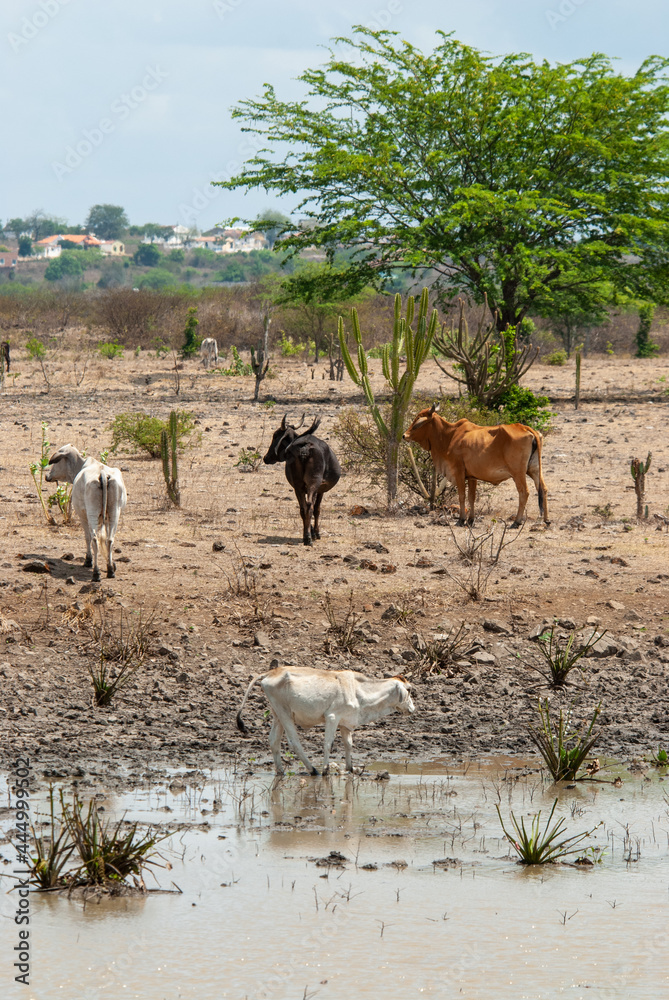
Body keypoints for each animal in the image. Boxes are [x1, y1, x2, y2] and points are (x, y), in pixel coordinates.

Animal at [45, 445, 127, 581]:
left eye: (56, 463)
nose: (47, 476)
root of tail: (102, 473)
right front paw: (111, 563)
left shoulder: (83, 515)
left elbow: (87, 537)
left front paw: (88, 560)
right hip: (114, 512)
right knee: (110, 540)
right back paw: (110, 570)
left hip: (92, 513)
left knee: (94, 539)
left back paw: (96, 573)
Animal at [236, 666, 415, 775]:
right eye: (409, 690)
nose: (413, 709)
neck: (358, 691)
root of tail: (271, 672)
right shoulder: (332, 717)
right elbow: (328, 744)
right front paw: (325, 769)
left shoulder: (345, 724)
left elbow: (348, 745)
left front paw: (351, 768)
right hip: (285, 714)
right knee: (294, 742)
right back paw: (313, 770)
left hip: (277, 715)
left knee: (274, 741)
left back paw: (281, 771)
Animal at [263, 415, 341, 546]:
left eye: (275, 435)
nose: (266, 458)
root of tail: (305, 447)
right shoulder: (319, 490)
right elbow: (317, 509)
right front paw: (316, 533)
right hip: (313, 483)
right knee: (309, 506)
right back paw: (308, 538)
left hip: (298, 486)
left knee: (304, 507)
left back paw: (306, 536)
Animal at [403, 403, 549, 527]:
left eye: (418, 420)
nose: (404, 435)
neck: (449, 435)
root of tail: (525, 428)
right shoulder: (472, 477)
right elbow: (471, 497)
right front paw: (471, 520)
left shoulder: (458, 472)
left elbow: (462, 495)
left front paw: (461, 520)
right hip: (534, 470)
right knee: (543, 489)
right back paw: (546, 520)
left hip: (518, 473)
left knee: (524, 492)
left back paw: (517, 522)